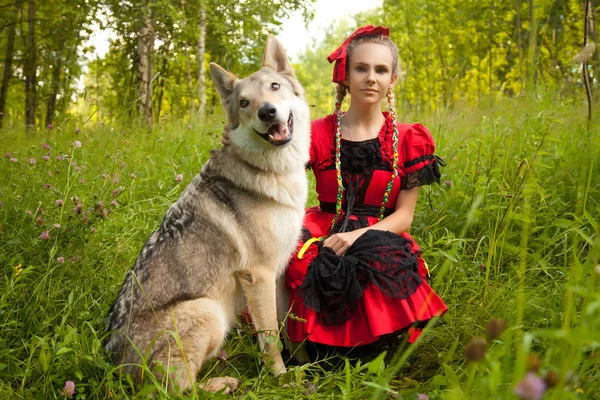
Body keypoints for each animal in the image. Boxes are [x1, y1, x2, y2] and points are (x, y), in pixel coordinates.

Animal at [105, 36, 310, 392]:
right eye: (244, 102)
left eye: (274, 87)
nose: (267, 111)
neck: (272, 171)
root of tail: (113, 366)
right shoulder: (259, 275)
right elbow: (270, 336)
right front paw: (281, 379)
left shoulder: (279, 271)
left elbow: (286, 326)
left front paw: (302, 367)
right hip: (208, 311)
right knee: (176, 389)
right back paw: (223, 383)